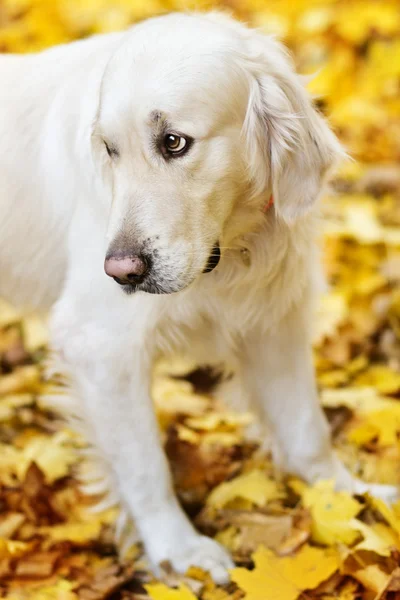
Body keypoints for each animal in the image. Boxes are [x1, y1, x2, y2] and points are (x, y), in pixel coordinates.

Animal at [0, 9, 394, 580]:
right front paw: (181, 553)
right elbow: (145, 466)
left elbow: (306, 428)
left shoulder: (274, 321)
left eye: (173, 142)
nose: (120, 272)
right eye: (110, 151)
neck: (229, 251)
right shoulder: (100, 346)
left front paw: (351, 499)